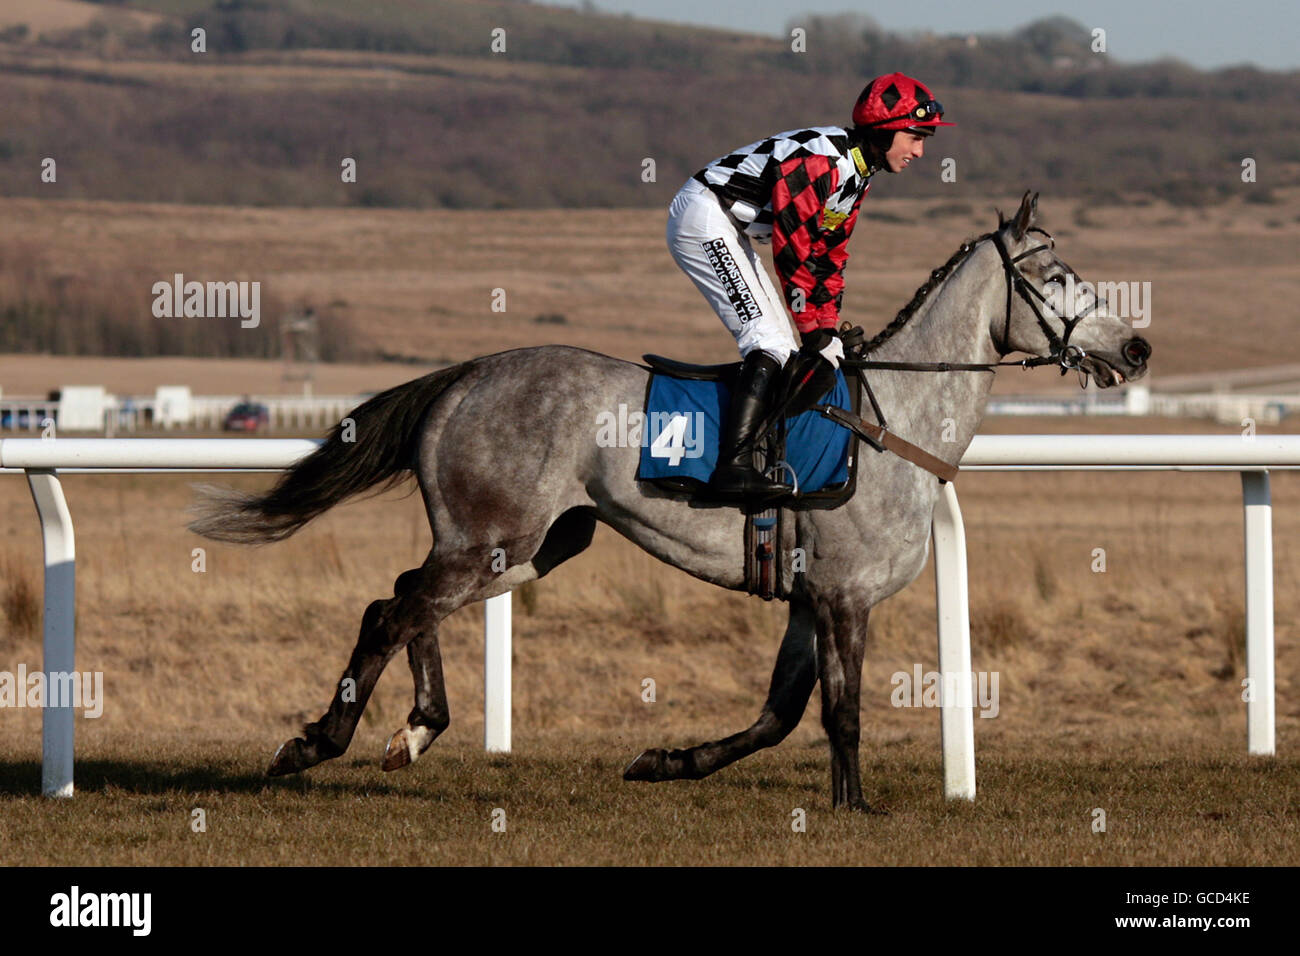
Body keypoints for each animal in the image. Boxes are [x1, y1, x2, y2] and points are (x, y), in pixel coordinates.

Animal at [189, 192, 1149, 806]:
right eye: (1055, 275)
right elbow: (839, 712)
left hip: (529, 544)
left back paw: (414, 730)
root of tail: (465, 377)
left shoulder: (807, 597)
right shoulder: (845, 595)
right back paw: (315, 742)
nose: (1136, 348)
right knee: (395, 611)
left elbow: (778, 714)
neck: (892, 422)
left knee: (402, 600)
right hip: (494, 535)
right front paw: (854, 807)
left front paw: (665, 761)